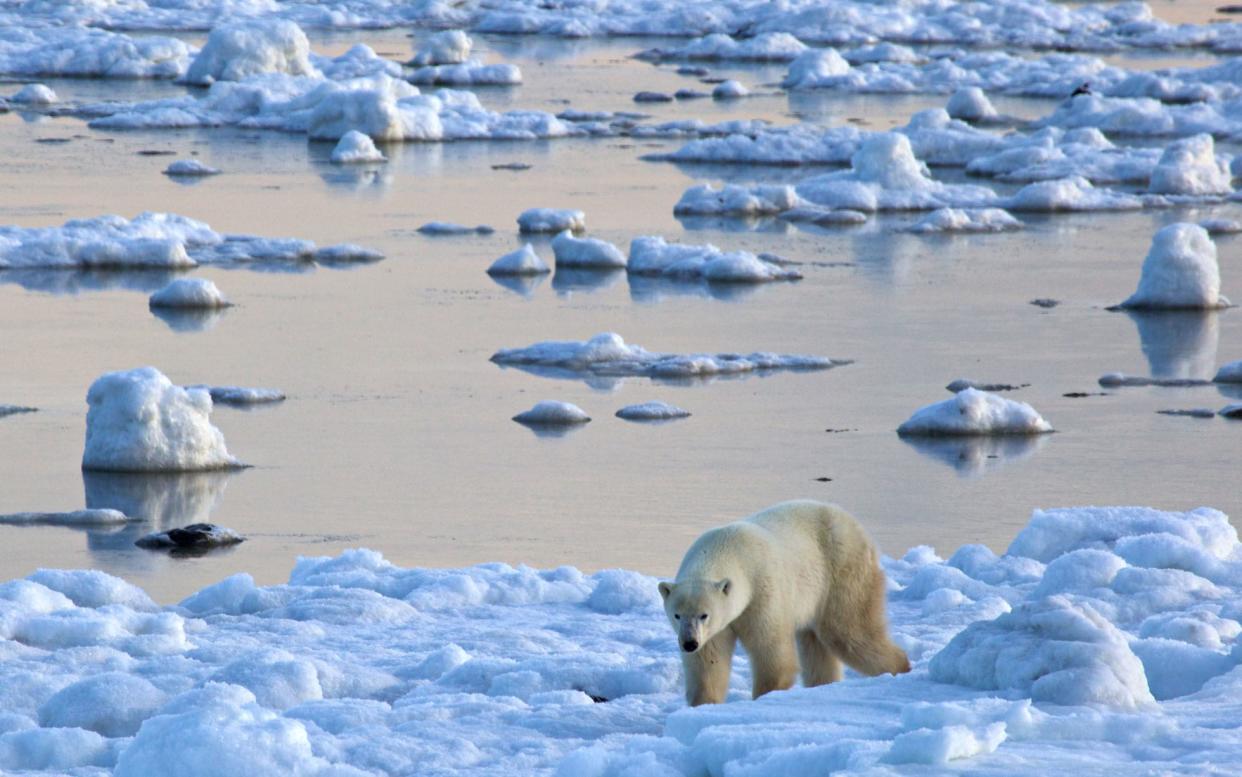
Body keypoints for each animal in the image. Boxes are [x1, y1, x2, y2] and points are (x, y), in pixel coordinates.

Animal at [660, 498, 914, 705]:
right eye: (677, 615)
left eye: (704, 614)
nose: (689, 643)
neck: (726, 548)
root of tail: (856, 526)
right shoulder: (717, 627)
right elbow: (708, 661)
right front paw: (704, 704)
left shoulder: (761, 592)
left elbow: (771, 651)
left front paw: (766, 696)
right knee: (816, 646)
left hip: (842, 572)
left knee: (849, 631)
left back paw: (900, 668)